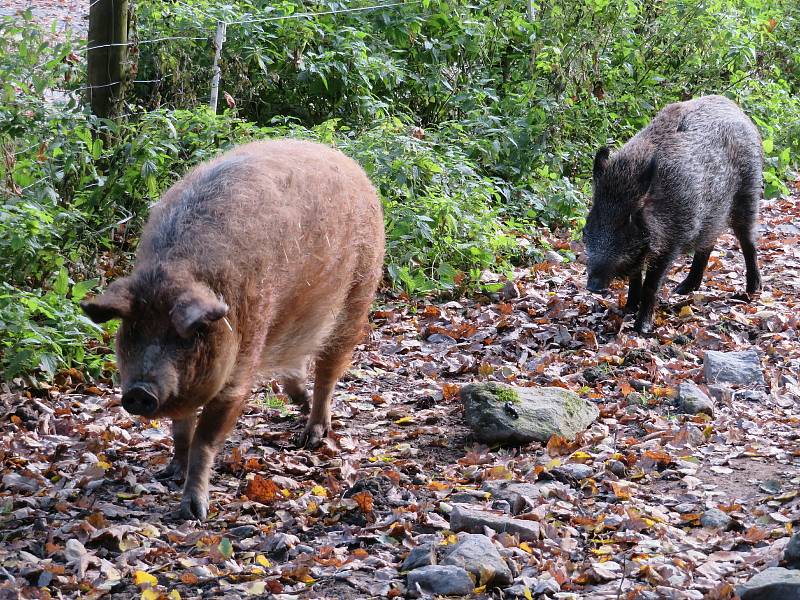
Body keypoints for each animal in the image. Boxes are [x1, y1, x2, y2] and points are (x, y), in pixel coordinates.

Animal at [79, 141, 386, 520]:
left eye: (185, 336)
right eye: (132, 330)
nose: (139, 391)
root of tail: (348, 163)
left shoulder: (240, 366)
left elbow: (205, 438)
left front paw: (194, 512)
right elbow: (181, 429)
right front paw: (171, 473)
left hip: (358, 295)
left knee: (329, 369)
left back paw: (311, 437)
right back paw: (299, 403)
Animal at [580, 95, 764, 332]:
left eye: (629, 217)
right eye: (594, 213)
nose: (593, 286)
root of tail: (737, 109)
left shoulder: (672, 242)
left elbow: (651, 284)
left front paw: (642, 328)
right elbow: (635, 278)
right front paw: (628, 309)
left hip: (748, 192)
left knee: (748, 241)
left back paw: (751, 290)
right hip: (713, 214)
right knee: (708, 244)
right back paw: (682, 289)